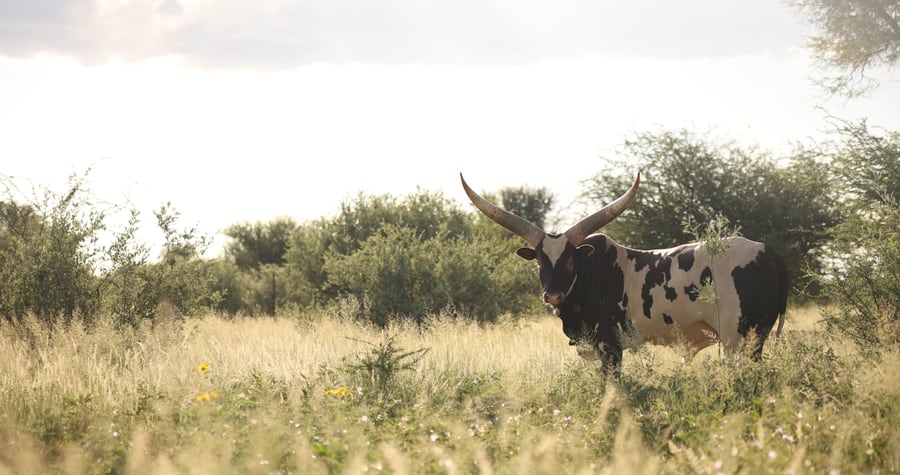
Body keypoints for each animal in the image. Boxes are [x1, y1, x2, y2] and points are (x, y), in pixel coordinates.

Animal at [460, 172, 788, 375]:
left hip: (737, 337)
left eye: (570, 262)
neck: (589, 277)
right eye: (539, 262)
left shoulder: (610, 345)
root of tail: (766, 250)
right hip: (758, 335)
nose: (551, 295)